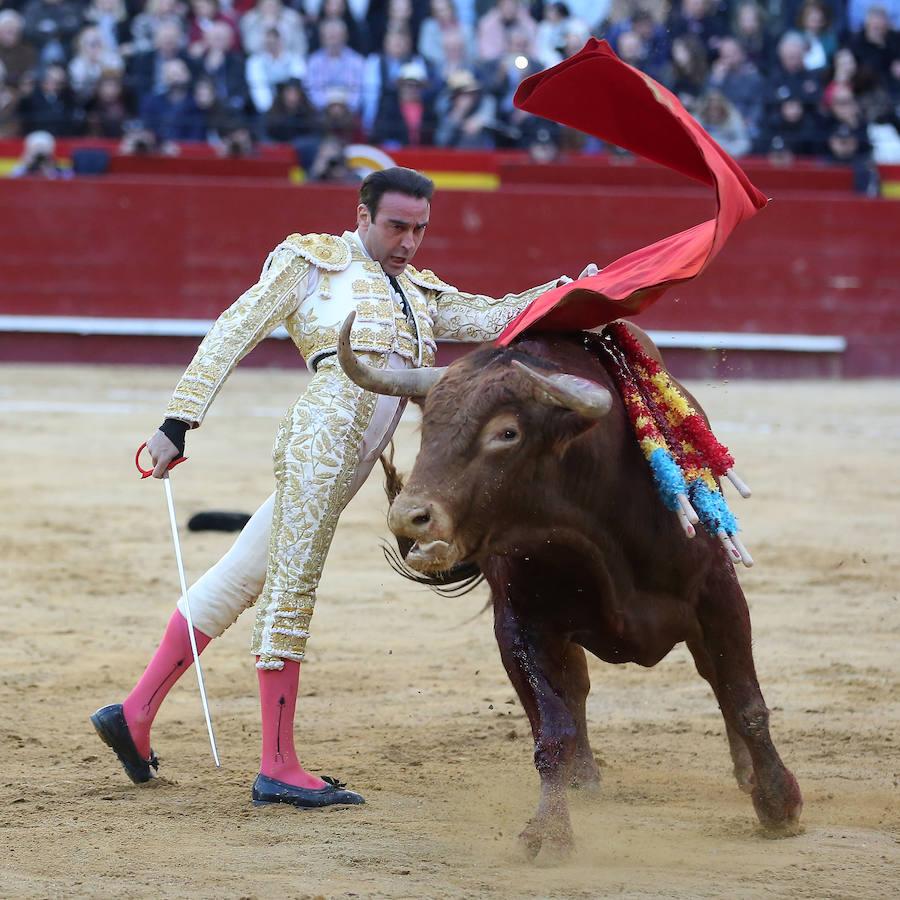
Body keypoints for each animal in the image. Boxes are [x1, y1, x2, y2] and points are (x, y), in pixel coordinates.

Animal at [336, 312, 800, 860]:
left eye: (507, 432)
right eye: (428, 427)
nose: (409, 517)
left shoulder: (717, 593)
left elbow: (744, 698)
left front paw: (779, 802)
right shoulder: (521, 623)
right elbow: (552, 730)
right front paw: (548, 832)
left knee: (715, 676)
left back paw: (746, 773)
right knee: (574, 691)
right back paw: (583, 779)